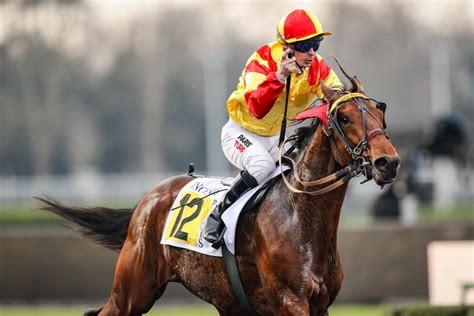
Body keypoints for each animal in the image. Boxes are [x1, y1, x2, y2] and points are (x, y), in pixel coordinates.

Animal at [38, 65, 400, 316]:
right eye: (344, 117)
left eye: (379, 113)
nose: (388, 162)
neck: (300, 218)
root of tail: (147, 199)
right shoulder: (290, 300)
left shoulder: (320, 303)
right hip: (132, 291)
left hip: (226, 301)